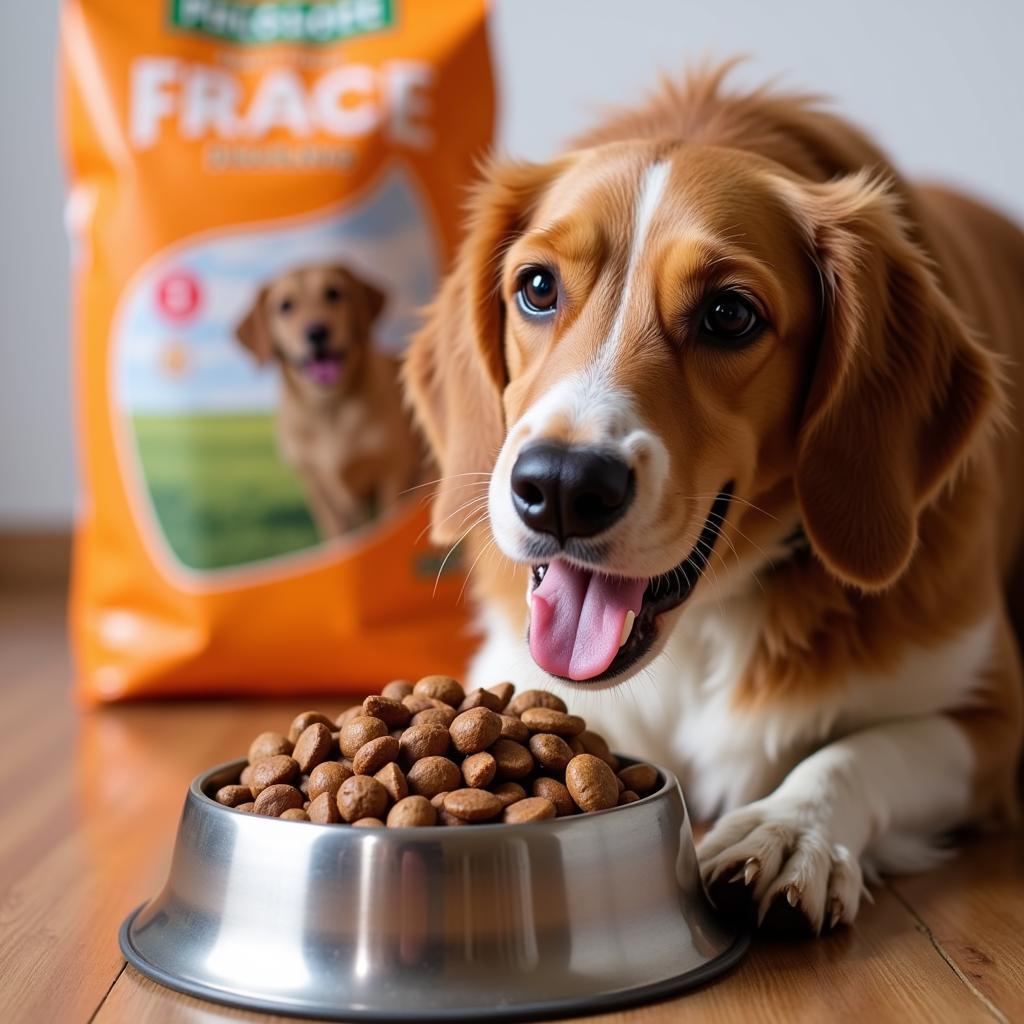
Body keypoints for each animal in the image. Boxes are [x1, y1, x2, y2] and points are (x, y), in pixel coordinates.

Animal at [235, 262, 419, 536]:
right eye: (285, 305)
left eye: (333, 293)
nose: (317, 332)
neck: (329, 409)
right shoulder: (317, 487)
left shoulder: (392, 472)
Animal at [405, 59, 1024, 933]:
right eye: (536, 288)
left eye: (730, 314)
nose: (560, 486)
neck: (704, 626)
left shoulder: (991, 723)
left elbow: (859, 751)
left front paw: (788, 830)